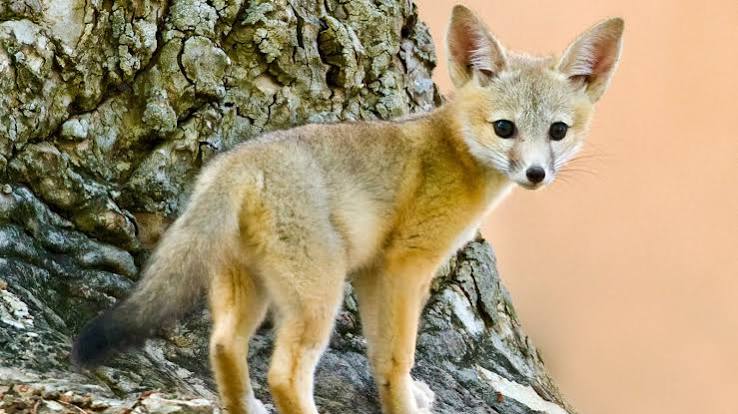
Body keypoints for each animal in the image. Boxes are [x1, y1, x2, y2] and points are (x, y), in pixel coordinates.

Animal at [72, 5, 623, 414]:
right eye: (504, 128)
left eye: (558, 131)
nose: (536, 174)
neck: (451, 153)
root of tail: (241, 164)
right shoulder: (404, 266)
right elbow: (396, 357)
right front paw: (403, 403)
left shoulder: (376, 272)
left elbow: (381, 354)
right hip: (320, 295)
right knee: (284, 374)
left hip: (249, 288)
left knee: (223, 345)